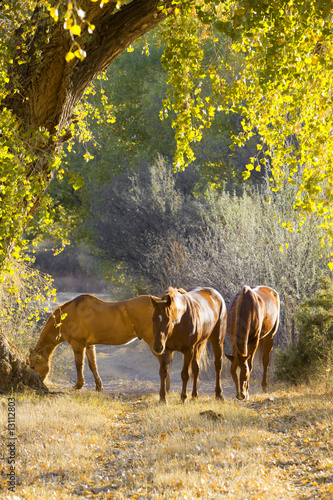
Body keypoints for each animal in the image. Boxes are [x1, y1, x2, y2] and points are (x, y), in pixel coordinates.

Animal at [28, 292, 165, 390]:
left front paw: (78, 385)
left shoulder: (78, 345)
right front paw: (99, 386)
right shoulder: (89, 345)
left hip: (154, 343)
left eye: (33, 366)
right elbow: (93, 365)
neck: (68, 316)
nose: (36, 384)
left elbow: (79, 365)